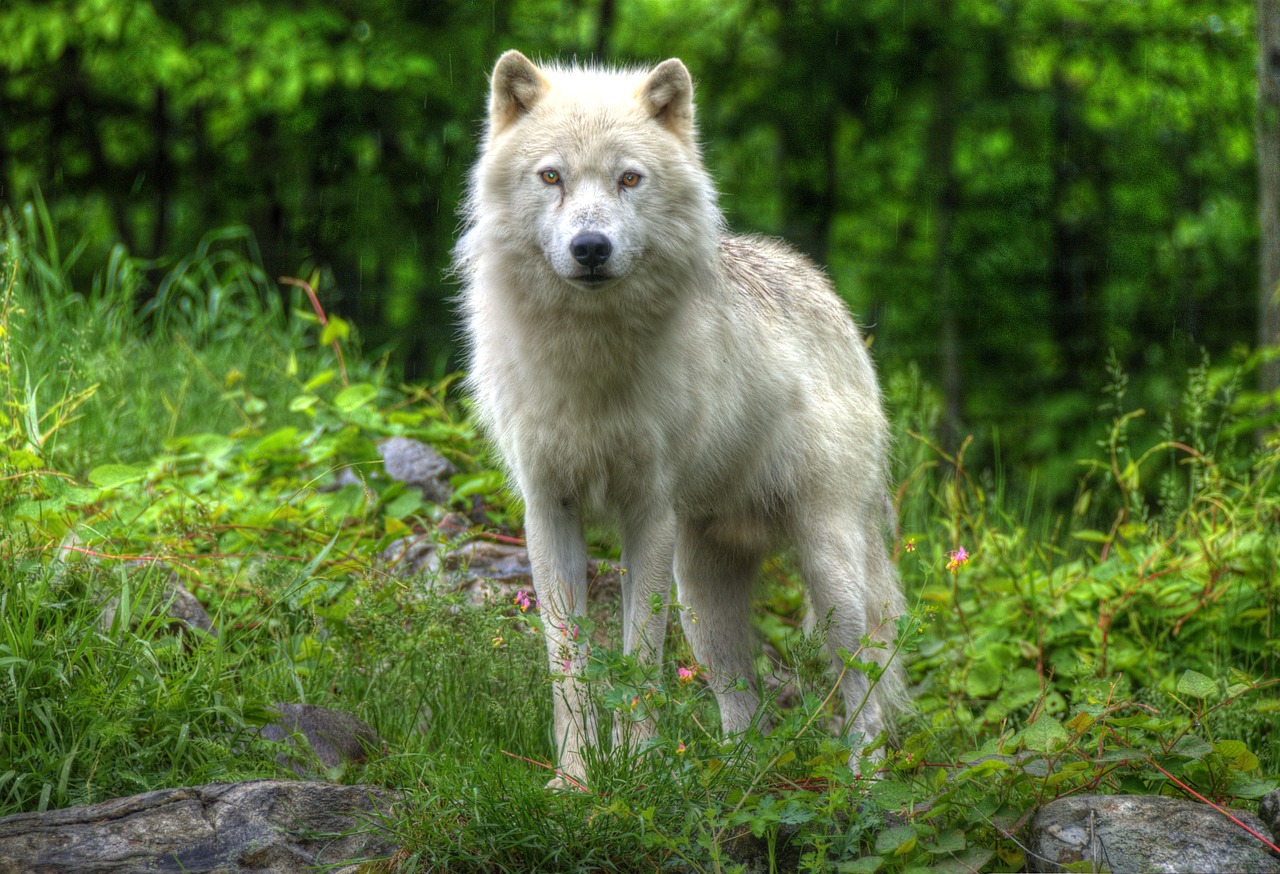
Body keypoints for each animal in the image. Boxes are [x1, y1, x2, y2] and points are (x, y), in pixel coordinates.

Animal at [455, 46, 906, 788]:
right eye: (552, 177)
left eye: (628, 179)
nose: (590, 248)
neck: (590, 355)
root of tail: (824, 291)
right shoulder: (547, 511)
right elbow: (568, 666)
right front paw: (574, 783)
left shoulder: (649, 513)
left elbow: (639, 662)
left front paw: (635, 775)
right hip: (702, 596)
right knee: (742, 703)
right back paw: (733, 781)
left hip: (828, 571)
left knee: (862, 682)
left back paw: (865, 787)